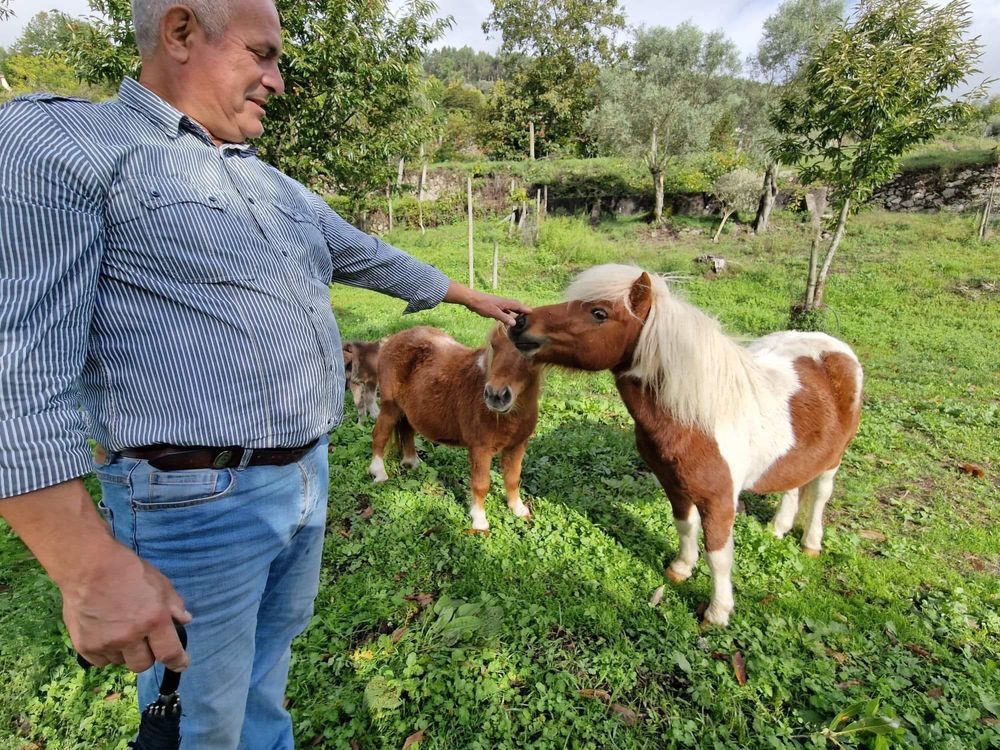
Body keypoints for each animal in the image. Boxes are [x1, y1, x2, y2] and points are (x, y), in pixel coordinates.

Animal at [368, 326, 544, 532]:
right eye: (494, 345)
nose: (496, 395)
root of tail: (391, 340)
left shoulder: (517, 446)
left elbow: (513, 478)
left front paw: (518, 509)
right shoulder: (480, 449)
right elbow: (481, 484)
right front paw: (479, 521)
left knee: (406, 431)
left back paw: (412, 463)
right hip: (391, 408)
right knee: (379, 435)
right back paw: (379, 473)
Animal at [512, 266, 864, 628]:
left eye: (599, 313)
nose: (520, 322)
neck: (696, 417)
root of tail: (836, 349)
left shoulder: (720, 501)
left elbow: (719, 556)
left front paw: (717, 612)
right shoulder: (675, 485)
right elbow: (684, 526)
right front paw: (680, 569)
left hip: (833, 461)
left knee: (820, 495)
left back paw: (811, 544)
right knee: (792, 484)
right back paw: (778, 529)